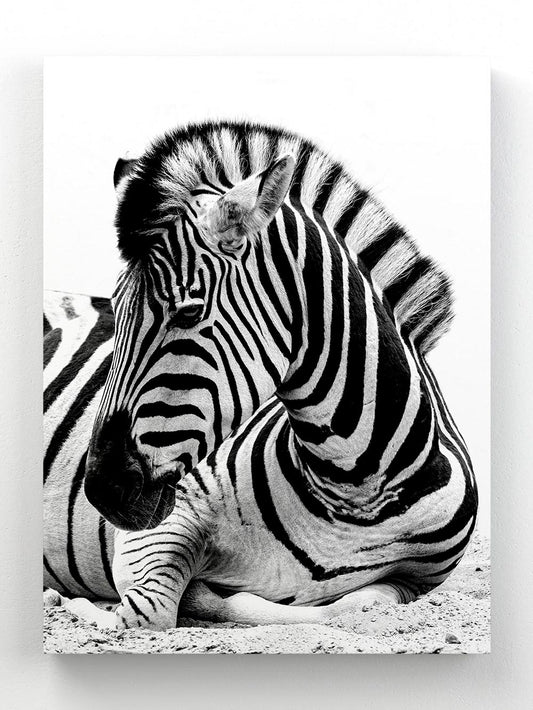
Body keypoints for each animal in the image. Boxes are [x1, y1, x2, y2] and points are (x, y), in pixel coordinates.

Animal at [44, 120, 477, 630]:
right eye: (114, 312)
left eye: (188, 312)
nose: (101, 490)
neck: (354, 494)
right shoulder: (159, 527)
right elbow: (150, 611)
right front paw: (76, 604)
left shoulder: (417, 581)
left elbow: (351, 605)